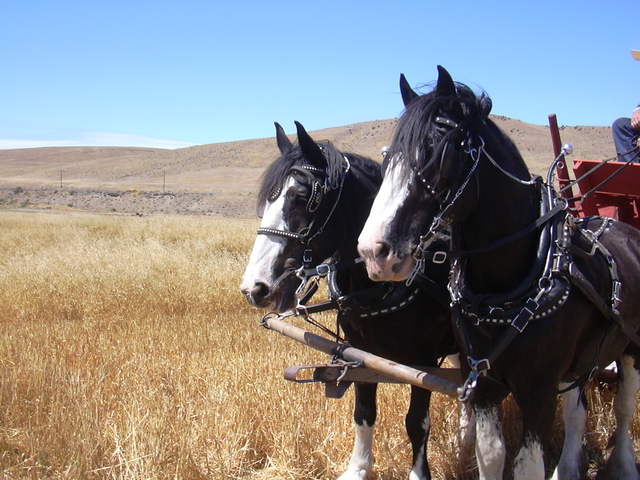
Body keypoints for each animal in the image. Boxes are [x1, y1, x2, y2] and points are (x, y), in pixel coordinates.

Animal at [239, 121, 456, 480]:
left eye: (302, 198)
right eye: (267, 200)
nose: (254, 287)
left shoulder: (424, 361)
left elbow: (417, 422)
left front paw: (418, 473)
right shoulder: (359, 351)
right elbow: (364, 411)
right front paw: (358, 468)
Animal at [358, 66, 640, 480]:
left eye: (438, 152)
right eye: (388, 158)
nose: (373, 252)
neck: (503, 289)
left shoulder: (538, 390)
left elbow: (527, 466)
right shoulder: (484, 384)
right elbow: (490, 455)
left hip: (633, 348)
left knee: (623, 407)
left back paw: (623, 463)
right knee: (579, 409)